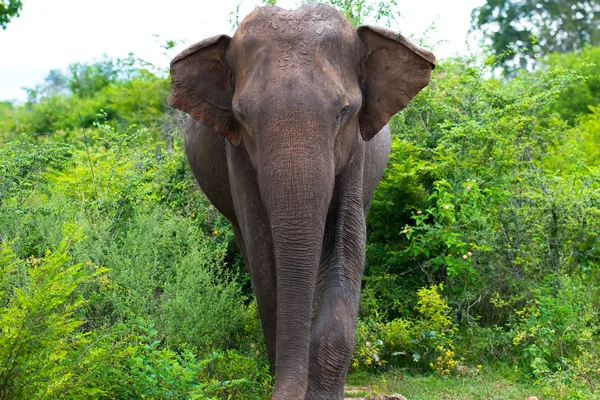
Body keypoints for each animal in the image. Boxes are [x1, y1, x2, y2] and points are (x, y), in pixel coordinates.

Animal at [166, 3, 434, 400]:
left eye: (344, 111)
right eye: (242, 116)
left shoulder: (357, 151)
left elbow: (346, 243)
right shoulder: (237, 155)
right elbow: (264, 255)